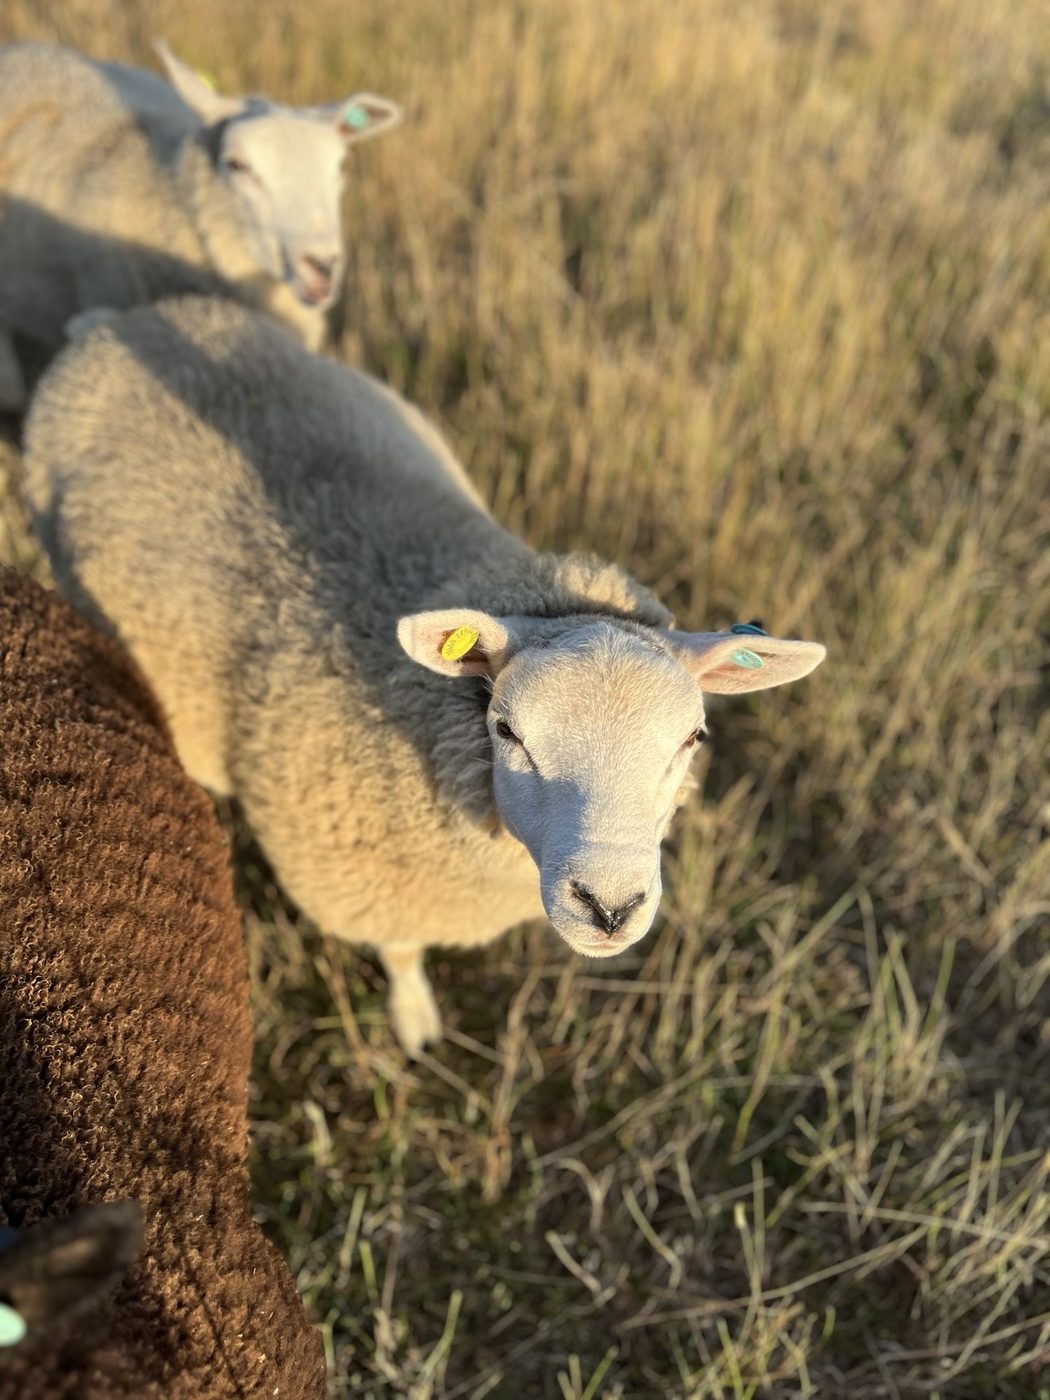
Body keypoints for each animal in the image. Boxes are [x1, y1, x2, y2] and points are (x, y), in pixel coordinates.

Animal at [22, 295, 826, 1057]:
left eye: (692, 740)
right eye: (507, 730)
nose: (609, 908)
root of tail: (112, 323)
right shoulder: (368, 877)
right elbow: (404, 953)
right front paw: (416, 1023)